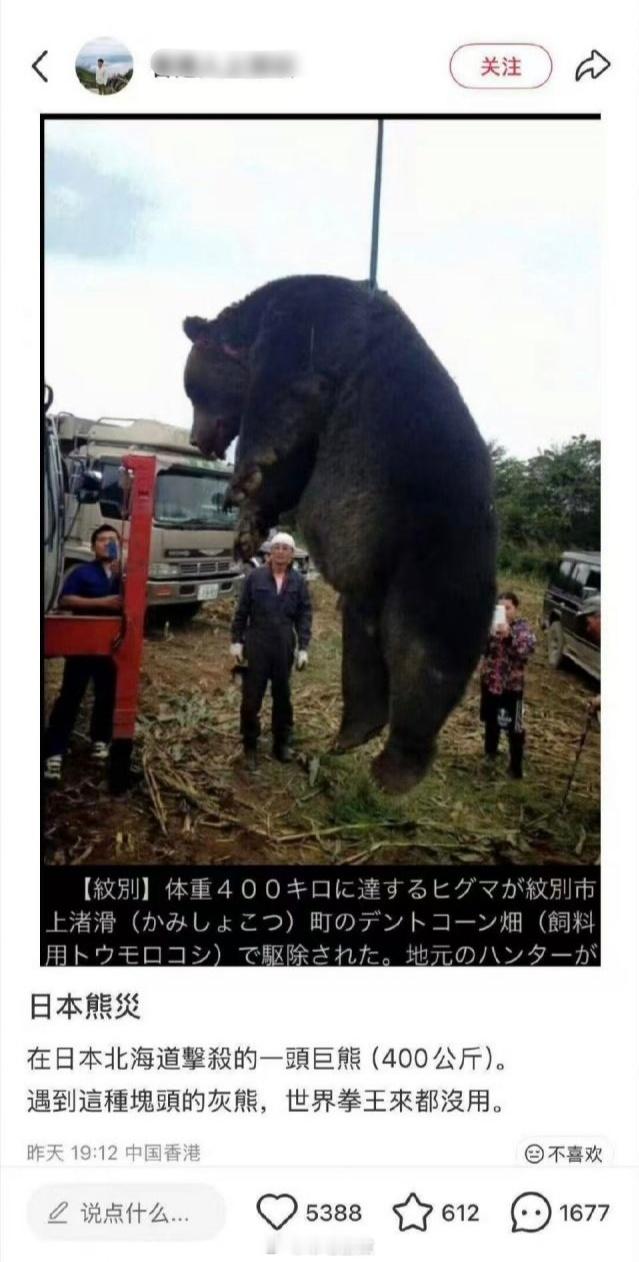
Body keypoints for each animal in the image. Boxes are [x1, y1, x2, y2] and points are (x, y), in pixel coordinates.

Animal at [184, 275, 497, 794]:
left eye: (192, 391)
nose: (197, 440)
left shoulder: (308, 331)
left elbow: (283, 398)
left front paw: (241, 479)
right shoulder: (313, 434)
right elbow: (290, 468)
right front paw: (247, 528)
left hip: (434, 549)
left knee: (424, 654)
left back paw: (396, 767)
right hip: (375, 583)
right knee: (365, 650)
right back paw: (352, 733)